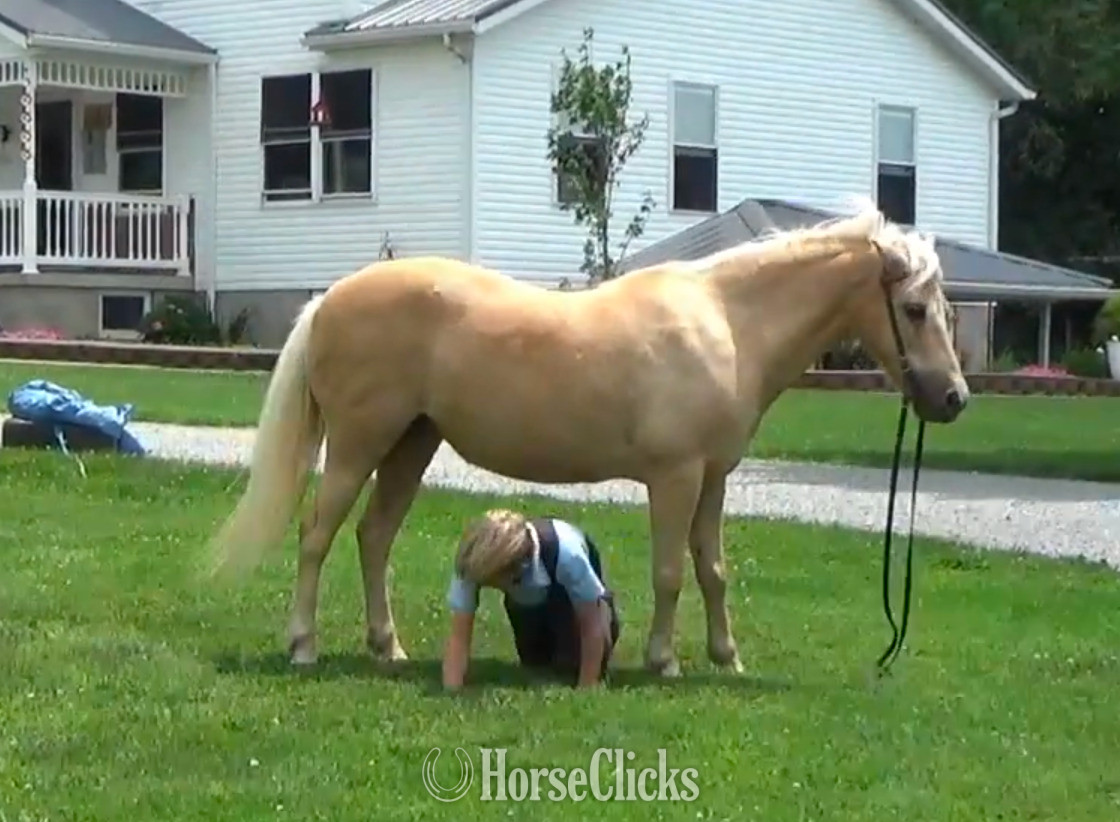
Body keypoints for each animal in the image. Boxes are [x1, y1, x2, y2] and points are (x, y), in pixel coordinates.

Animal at [207, 201, 969, 679]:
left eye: (945, 308)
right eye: (913, 308)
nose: (954, 398)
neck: (726, 321)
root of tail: (328, 299)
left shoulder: (712, 479)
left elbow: (712, 570)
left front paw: (727, 657)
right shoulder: (675, 477)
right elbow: (669, 572)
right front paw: (665, 661)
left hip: (410, 445)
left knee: (374, 538)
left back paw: (386, 647)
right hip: (360, 443)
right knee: (317, 536)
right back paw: (303, 645)